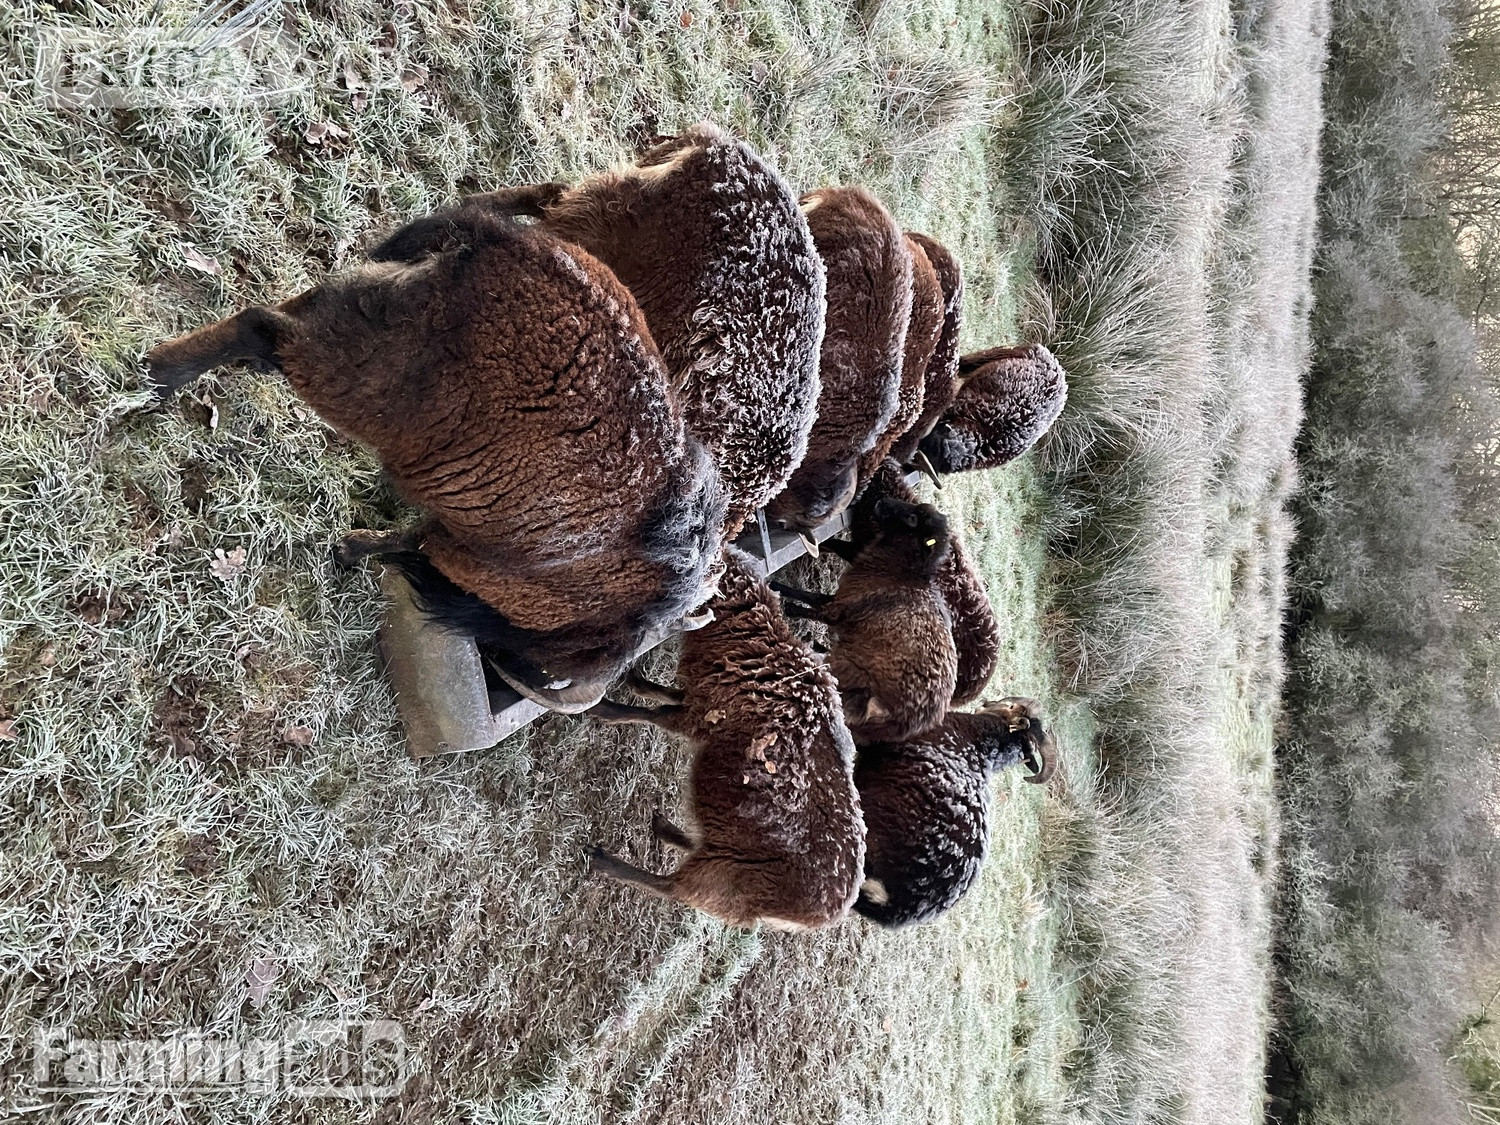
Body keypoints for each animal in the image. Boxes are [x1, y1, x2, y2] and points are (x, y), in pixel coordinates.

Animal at [144, 207, 726, 712]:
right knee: (261, 328)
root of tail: (503, 241)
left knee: (277, 322)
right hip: (361, 378)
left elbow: (410, 533)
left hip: (361, 319)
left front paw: (350, 548)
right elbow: (416, 538)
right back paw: (159, 376)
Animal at [585, 547, 865, 930]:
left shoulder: (702, 718)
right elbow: (669, 695)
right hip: (729, 858)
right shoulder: (704, 698)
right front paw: (637, 682)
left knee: (673, 888)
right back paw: (663, 829)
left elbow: (653, 714)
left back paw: (603, 860)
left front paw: (607, 708)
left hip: (729, 880)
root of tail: (821, 916)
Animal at [772, 493, 957, 743]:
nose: (880, 501)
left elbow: (813, 604)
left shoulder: (841, 609)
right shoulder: (846, 597)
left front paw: (783, 597)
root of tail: (909, 723)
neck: (901, 574)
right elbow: (818, 598)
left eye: (912, 518)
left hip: (849, 674)